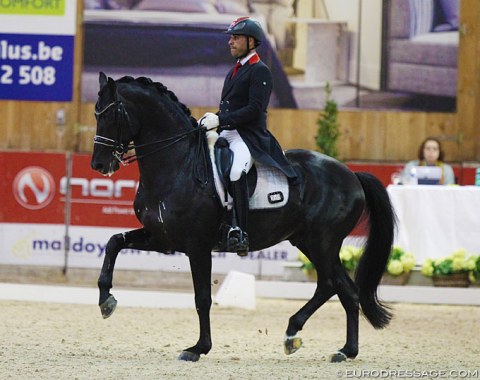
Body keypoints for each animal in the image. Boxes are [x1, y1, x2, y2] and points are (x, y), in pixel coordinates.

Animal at [92, 73, 396, 362]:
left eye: (110, 114)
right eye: (96, 114)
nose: (99, 164)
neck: (177, 164)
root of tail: (352, 174)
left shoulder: (197, 245)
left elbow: (202, 298)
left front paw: (198, 348)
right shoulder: (162, 237)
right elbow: (114, 242)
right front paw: (106, 301)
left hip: (322, 242)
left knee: (331, 284)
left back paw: (298, 335)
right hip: (308, 241)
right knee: (345, 289)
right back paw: (342, 350)